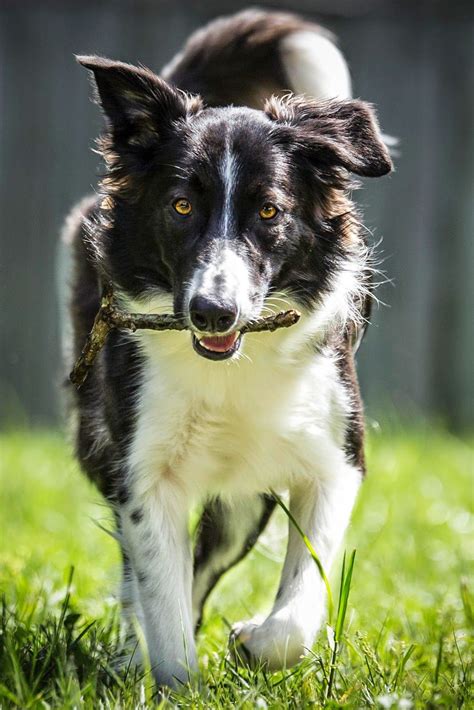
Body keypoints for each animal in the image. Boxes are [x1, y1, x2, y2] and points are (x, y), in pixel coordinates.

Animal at [63, 9, 392, 688]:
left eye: (269, 211)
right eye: (181, 205)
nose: (214, 311)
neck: (233, 366)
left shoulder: (336, 459)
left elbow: (298, 609)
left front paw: (254, 642)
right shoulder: (143, 473)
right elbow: (162, 604)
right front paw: (171, 681)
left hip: (244, 503)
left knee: (205, 565)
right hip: (104, 446)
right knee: (143, 579)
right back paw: (126, 658)